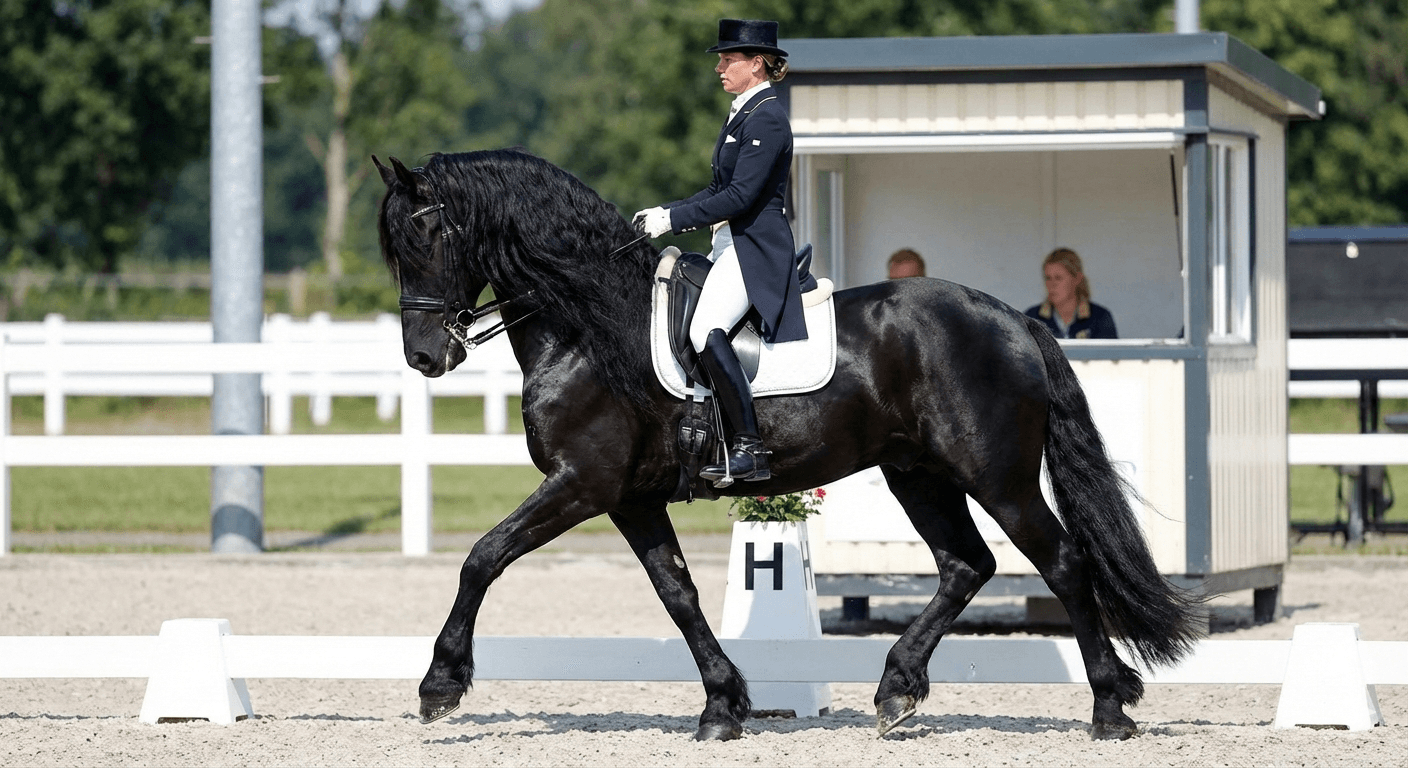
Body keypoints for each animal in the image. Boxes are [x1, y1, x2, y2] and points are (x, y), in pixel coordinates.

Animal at [373, 149, 1201, 742]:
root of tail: (1013, 319)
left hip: (998, 478)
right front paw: (723, 706)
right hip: (919, 474)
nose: (424, 358)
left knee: (1061, 564)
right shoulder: (631, 497)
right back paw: (897, 690)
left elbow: (483, 556)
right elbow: (677, 593)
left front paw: (440, 685)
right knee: (967, 565)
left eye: (427, 235)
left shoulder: (582, 482)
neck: (588, 325)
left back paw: (1108, 710)